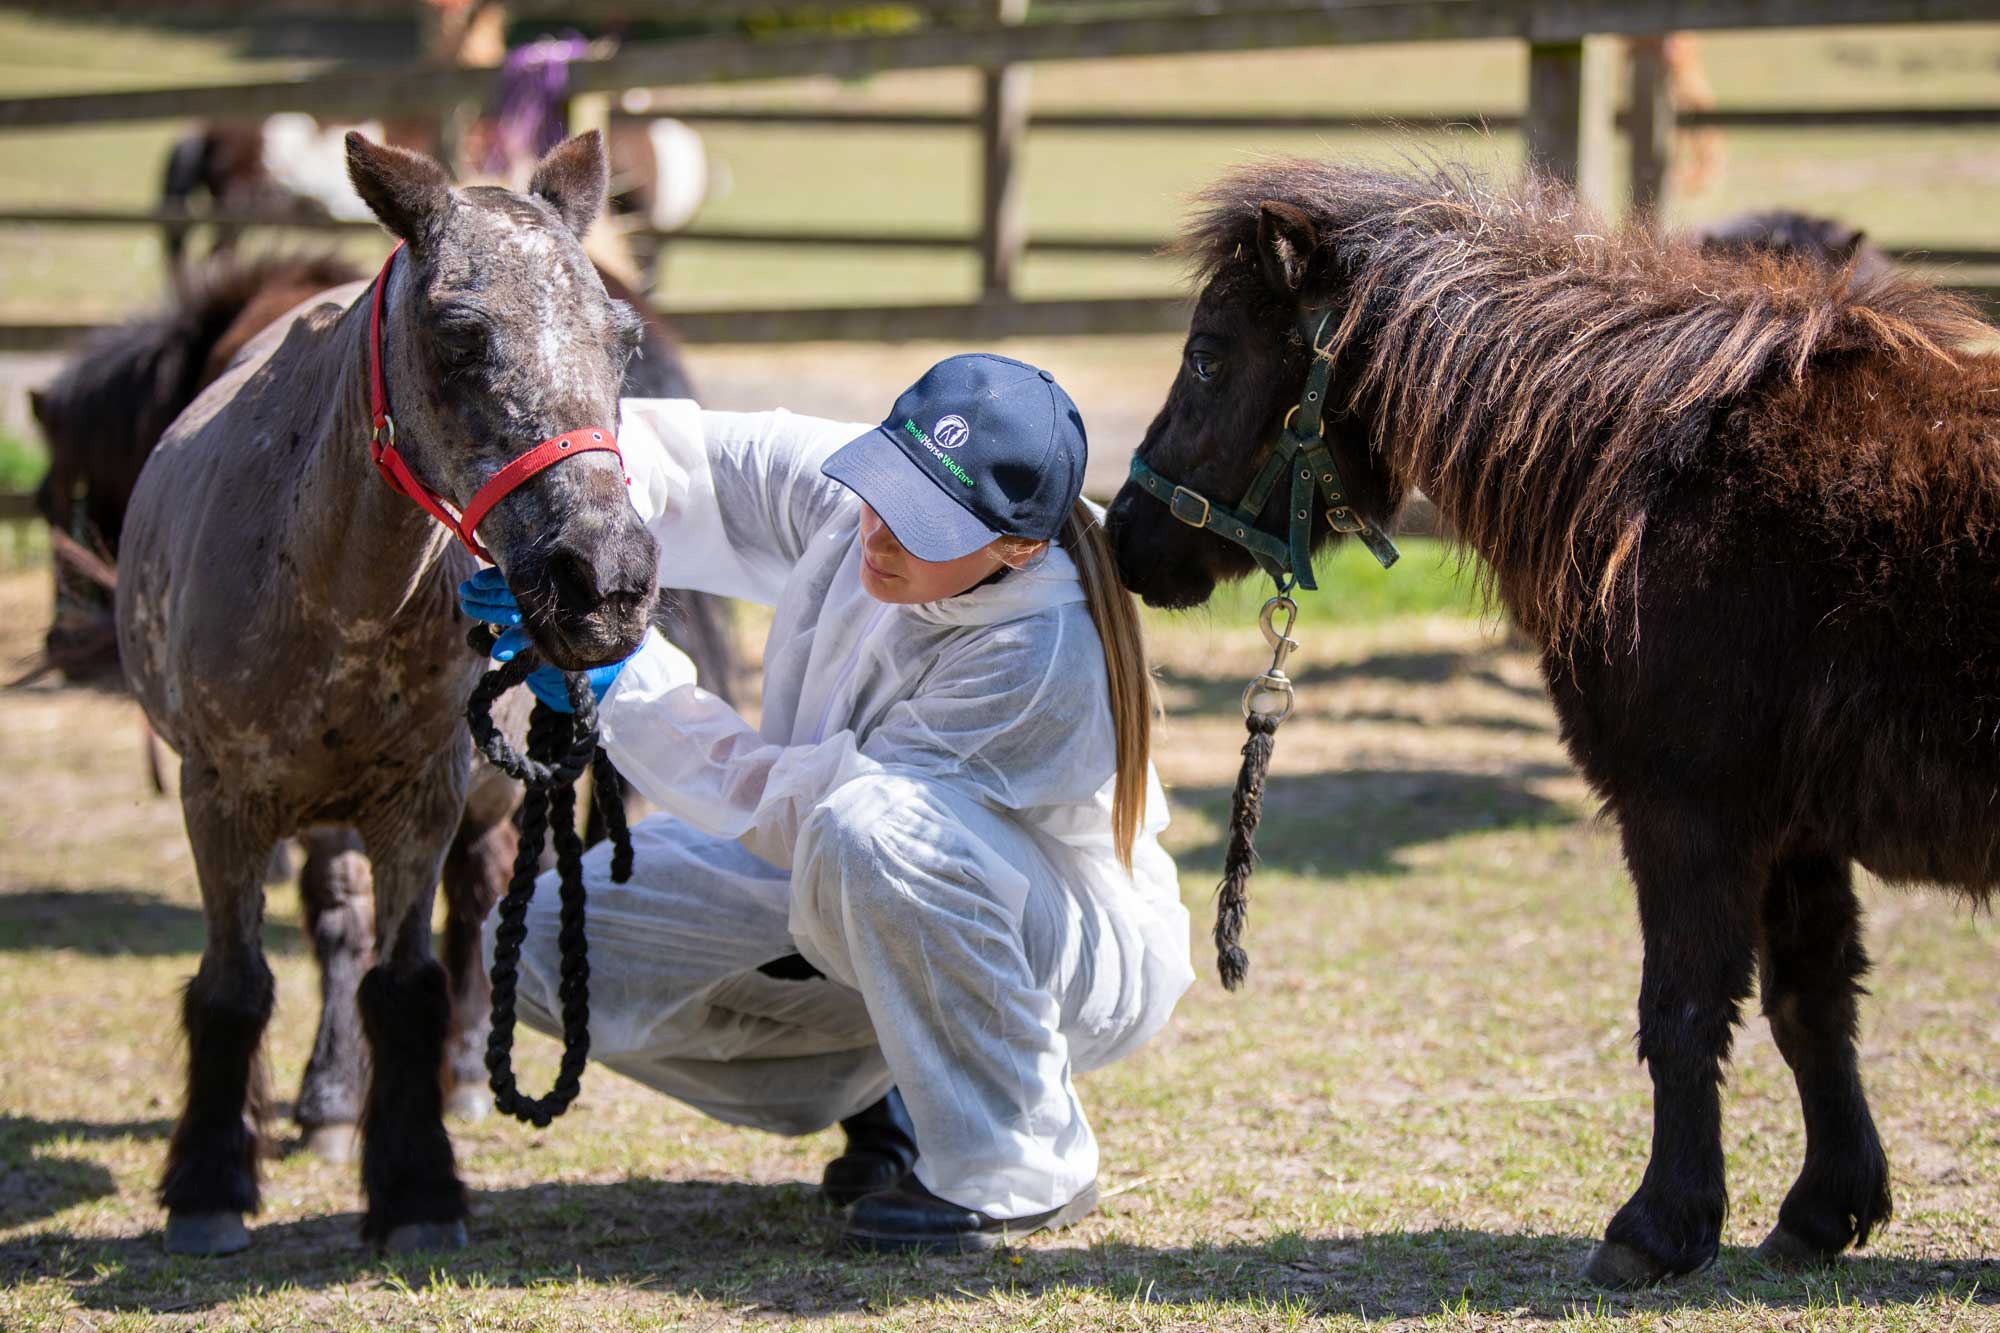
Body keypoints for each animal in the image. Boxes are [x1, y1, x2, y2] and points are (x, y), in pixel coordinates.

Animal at [1112, 158, 2000, 1288]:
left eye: (1207, 356)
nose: (1123, 536)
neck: (1662, 475)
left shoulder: (1687, 812)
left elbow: (1681, 1013)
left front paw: (1655, 1228)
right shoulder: (1794, 827)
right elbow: (1812, 1005)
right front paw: (1821, 1211)